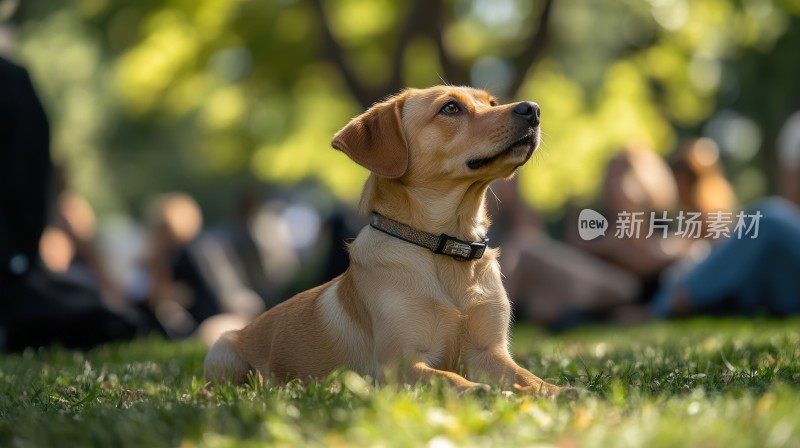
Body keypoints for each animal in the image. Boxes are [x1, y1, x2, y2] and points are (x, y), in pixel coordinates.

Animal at [206, 86, 568, 398]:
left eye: (492, 103)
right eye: (451, 108)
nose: (532, 109)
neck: (447, 247)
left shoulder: (489, 352)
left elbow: (527, 377)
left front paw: (557, 391)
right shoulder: (399, 363)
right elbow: (447, 377)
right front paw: (477, 390)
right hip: (223, 352)